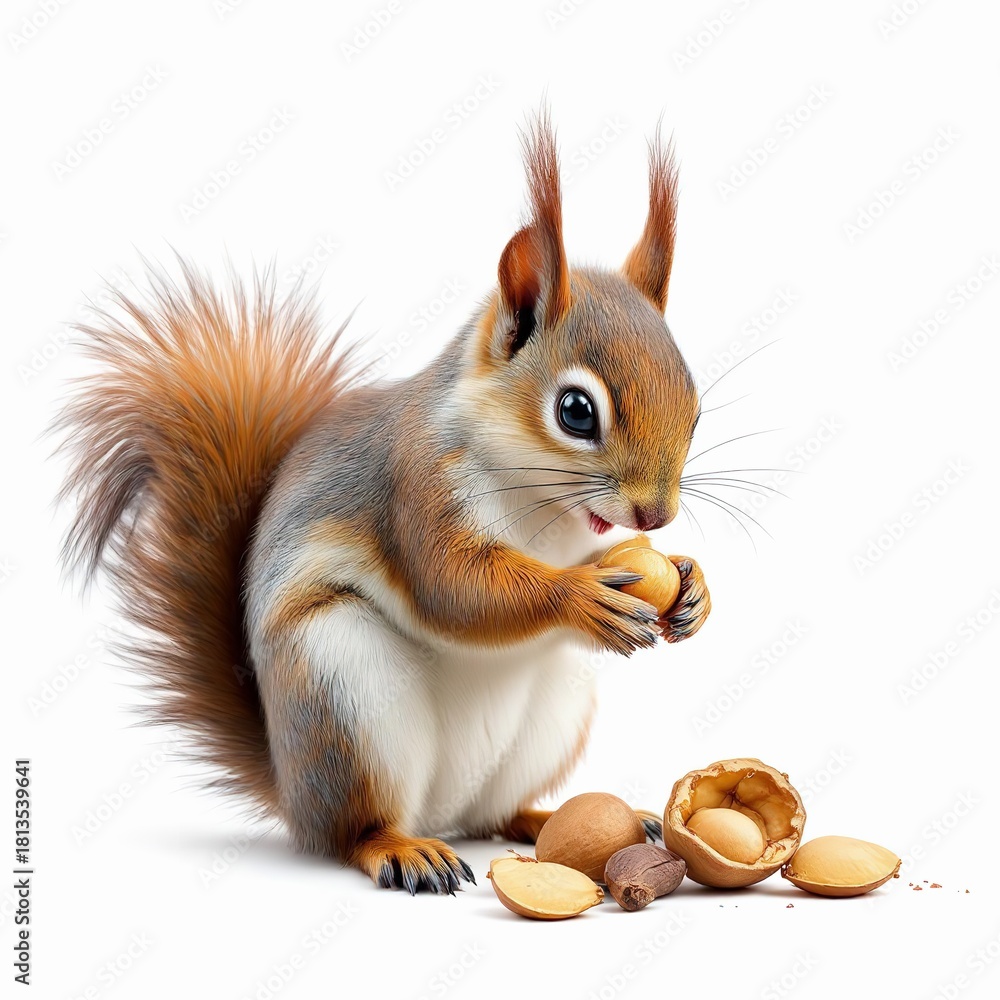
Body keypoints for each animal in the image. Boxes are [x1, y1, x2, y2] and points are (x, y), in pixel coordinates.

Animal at [55, 112, 711, 894]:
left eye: (696, 408)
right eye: (576, 412)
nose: (656, 514)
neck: (544, 511)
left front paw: (693, 587)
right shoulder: (415, 488)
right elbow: (455, 588)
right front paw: (578, 596)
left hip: (553, 709)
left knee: (499, 813)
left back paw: (557, 818)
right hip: (342, 692)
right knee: (355, 829)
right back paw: (400, 849)